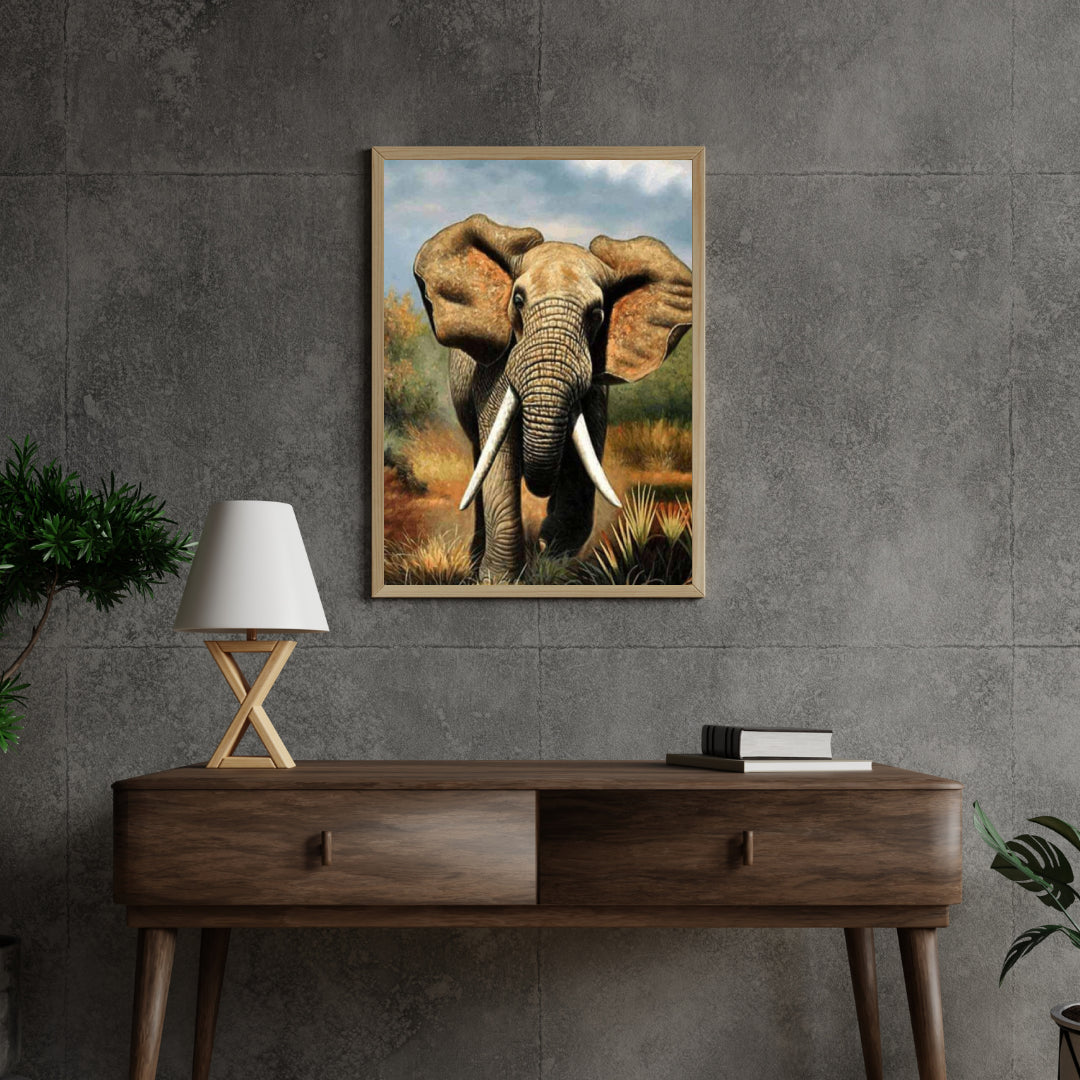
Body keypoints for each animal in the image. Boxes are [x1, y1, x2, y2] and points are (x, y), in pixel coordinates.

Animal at [413, 213, 692, 583]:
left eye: (596, 314)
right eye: (517, 301)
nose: (545, 537)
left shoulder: (595, 385)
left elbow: (585, 456)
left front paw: (553, 554)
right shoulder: (495, 372)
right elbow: (500, 456)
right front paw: (499, 581)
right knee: (480, 459)